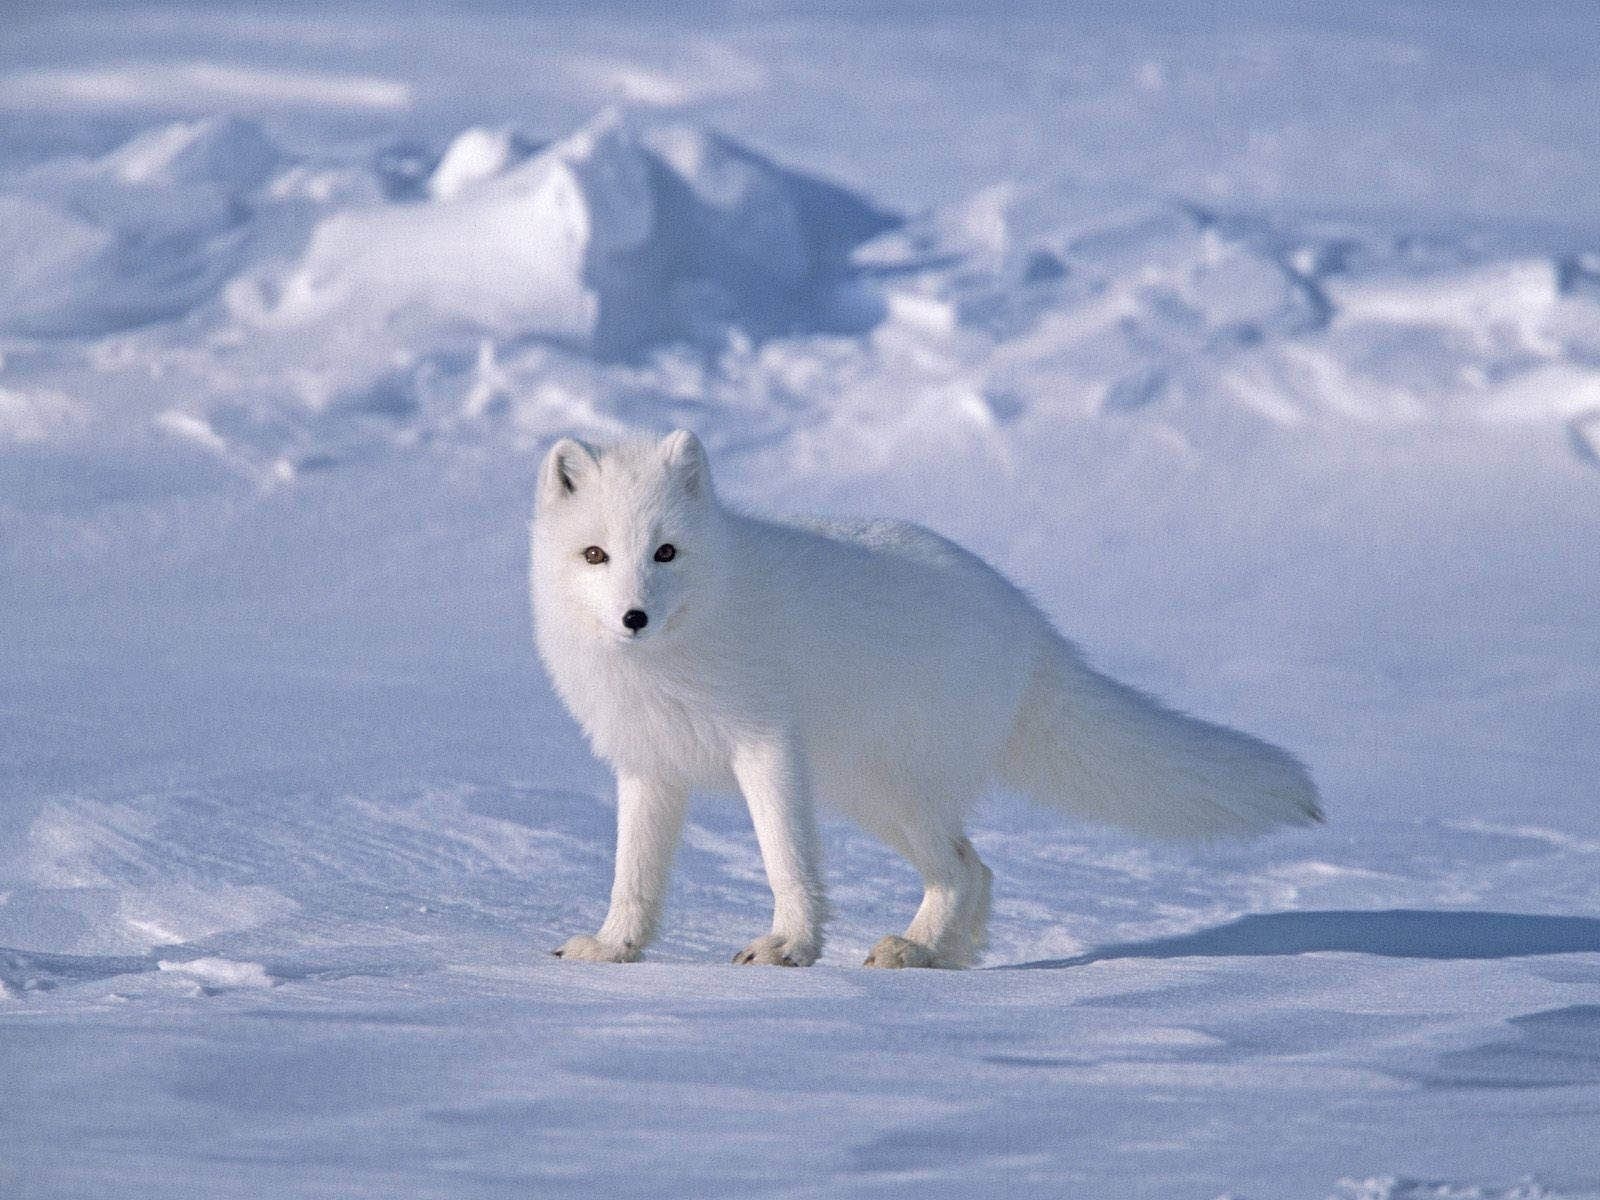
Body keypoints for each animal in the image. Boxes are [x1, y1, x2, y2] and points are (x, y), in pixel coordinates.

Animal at [531, 432, 1318, 966]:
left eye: (665, 552)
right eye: (596, 555)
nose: (633, 617)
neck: (675, 654)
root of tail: (1031, 625)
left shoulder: (765, 747)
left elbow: (786, 858)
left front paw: (789, 946)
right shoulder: (648, 766)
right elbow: (633, 875)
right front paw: (614, 948)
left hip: (891, 789)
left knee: (964, 868)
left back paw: (915, 949)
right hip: (869, 794)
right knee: (978, 869)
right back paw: (942, 955)